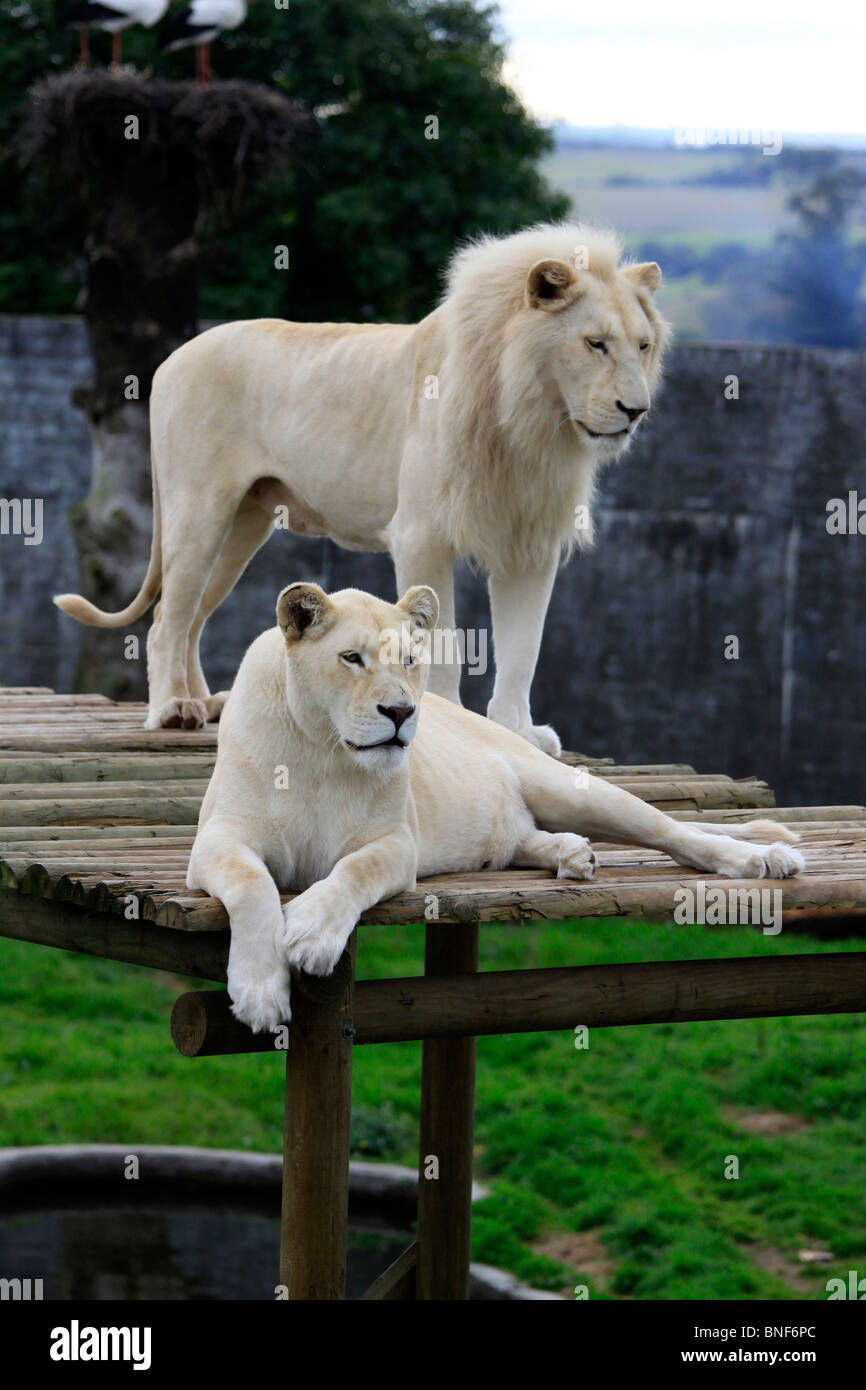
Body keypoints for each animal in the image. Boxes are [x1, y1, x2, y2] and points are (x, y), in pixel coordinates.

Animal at [54, 223, 670, 756]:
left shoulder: (530, 545)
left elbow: (524, 648)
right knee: (166, 622)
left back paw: (207, 705)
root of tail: (171, 359)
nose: (636, 411)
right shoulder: (423, 534)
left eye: (642, 346)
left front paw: (517, 732)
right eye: (595, 343)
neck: (533, 421)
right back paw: (172, 710)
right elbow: (441, 644)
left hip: (242, 525)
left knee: (192, 617)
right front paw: (447, 719)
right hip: (198, 509)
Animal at [189, 578, 806, 1034]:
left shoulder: (398, 845)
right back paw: (572, 855)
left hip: (573, 789)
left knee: (675, 833)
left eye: (409, 660)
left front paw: (313, 935)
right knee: (523, 838)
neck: (325, 751)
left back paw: (765, 859)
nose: (400, 712)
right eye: (351, 658)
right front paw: (260, 993)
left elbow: (352, 871)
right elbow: (252, 884)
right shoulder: (216, 841)